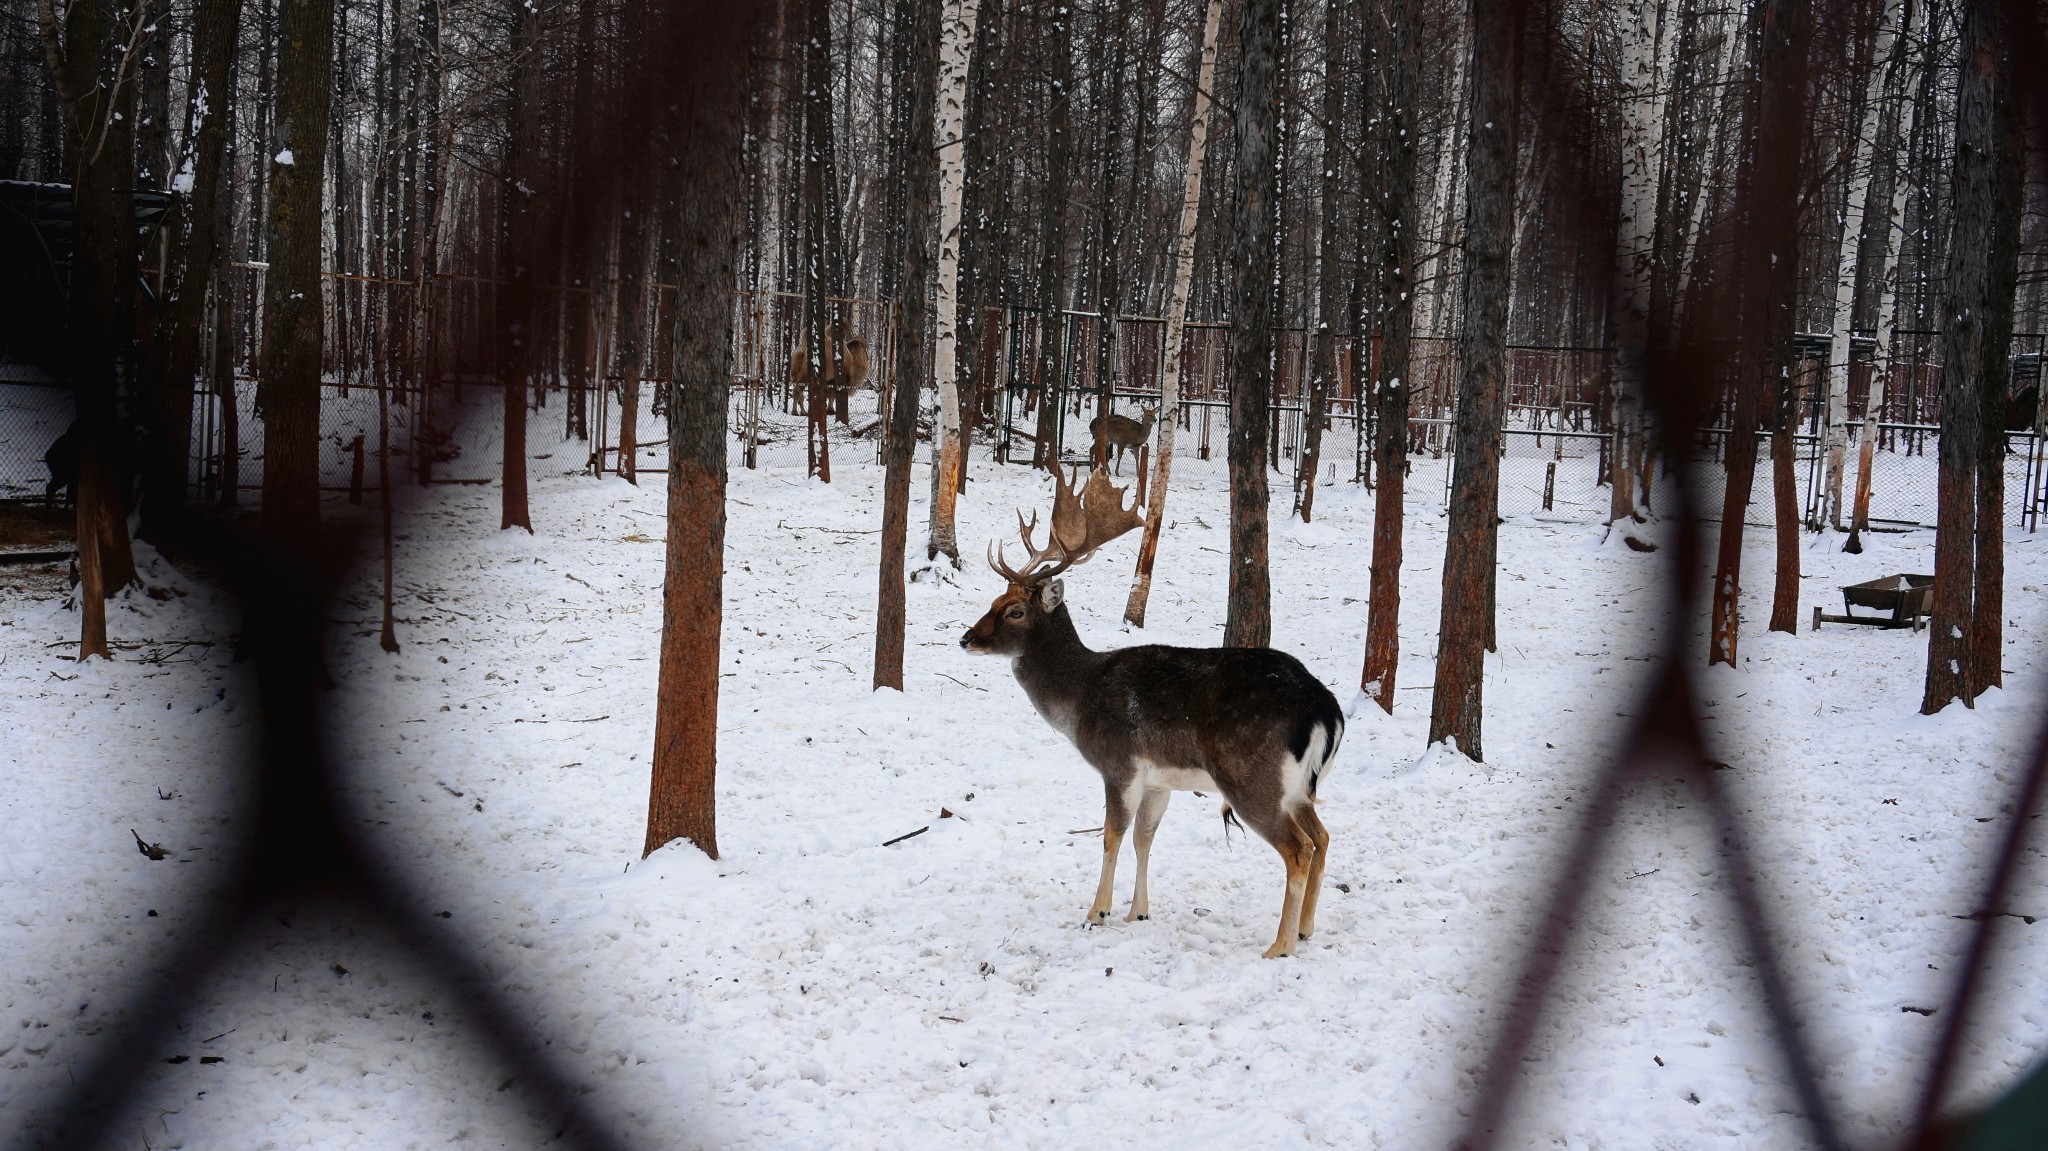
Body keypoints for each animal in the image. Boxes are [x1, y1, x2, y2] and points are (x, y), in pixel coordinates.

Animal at [958, 460, 1343, 954]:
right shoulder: (1159, 779)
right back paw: (1305, 928)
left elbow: (1111, 835)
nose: (966, 638)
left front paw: (1096, 913)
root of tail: (1326, 711)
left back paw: (1279, 945)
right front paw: (1137, 911)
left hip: (1251, 777)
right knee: (1323, 836)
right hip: (1297, 788)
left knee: (1299, 848)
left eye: (1015, 612)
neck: (1080, 696)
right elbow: (1144, 838)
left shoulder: (1118, 762)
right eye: (994, 600)